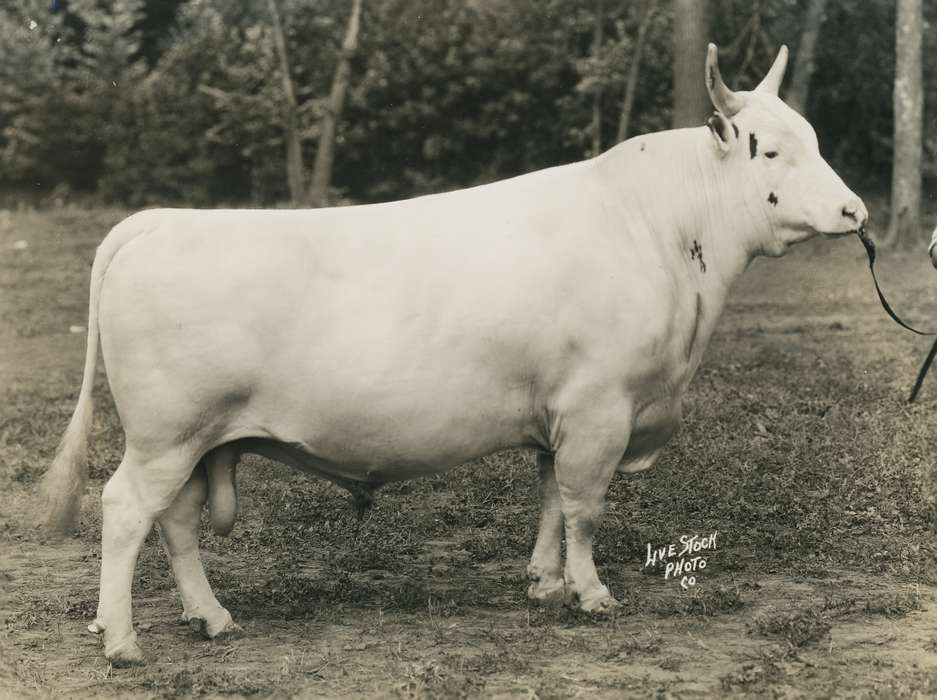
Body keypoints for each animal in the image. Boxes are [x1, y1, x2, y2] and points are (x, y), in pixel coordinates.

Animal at [39, 44, 867, 666]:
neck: (658, 230)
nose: (853, 210)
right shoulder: (599, 409)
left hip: (195, 439)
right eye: (770, 148)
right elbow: (584, 507)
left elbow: (548, 499)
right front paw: (591, 593)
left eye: (814, 139)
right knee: (126, 512)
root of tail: (156, 220)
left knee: (174, 523)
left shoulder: (557, 413)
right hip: (166, 434)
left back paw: (209, 616)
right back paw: (122, 641)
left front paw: (543, 583)